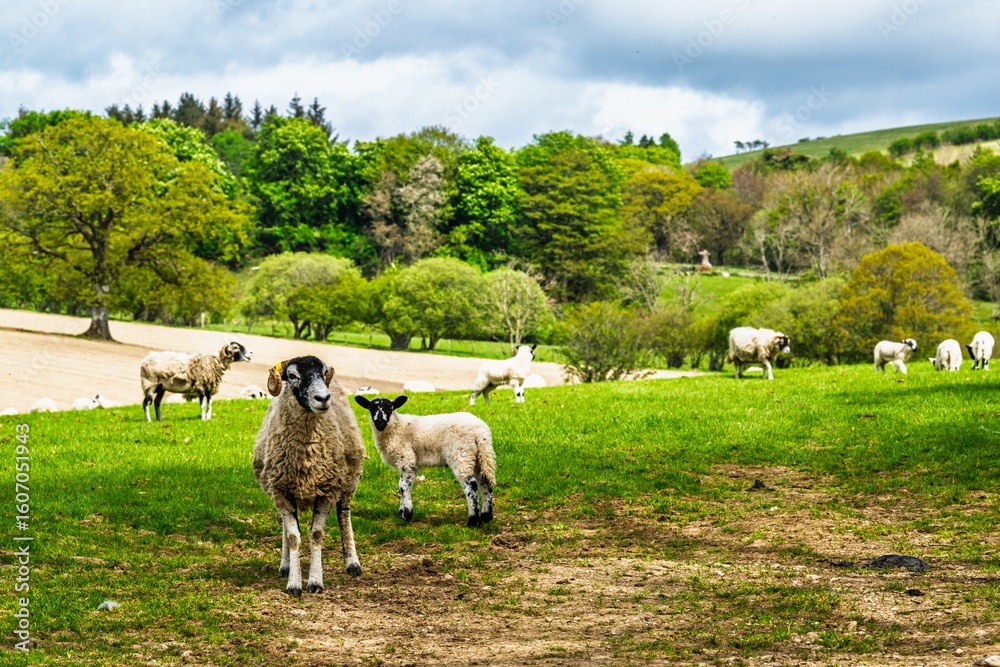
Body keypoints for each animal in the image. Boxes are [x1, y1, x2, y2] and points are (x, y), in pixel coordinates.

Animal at [253, 356, 366, 596]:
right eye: (292, 375)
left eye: (323, 373)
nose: (323, 398)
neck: (305, 456)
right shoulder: (281, 490)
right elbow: (293, 536)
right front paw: (294, 584)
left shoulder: (327, 490)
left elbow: (316, 534)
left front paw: (315, 581)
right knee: (286, 527)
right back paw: (285, 565)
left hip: (348, 481)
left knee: (344, 515)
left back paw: (352, 563)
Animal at [355, 395, 496, 527]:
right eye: (371, 408)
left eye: (390, 408)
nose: (380, 422)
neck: (396, 428)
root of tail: (481, 432)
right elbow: (402, 486)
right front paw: (401, 512)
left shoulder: (407, 459)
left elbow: (403, 486)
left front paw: (407, 514)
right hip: (479, 457)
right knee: (485, 483)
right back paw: (486, 517)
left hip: (461, 454)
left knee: (471, 485)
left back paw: (472, 520)